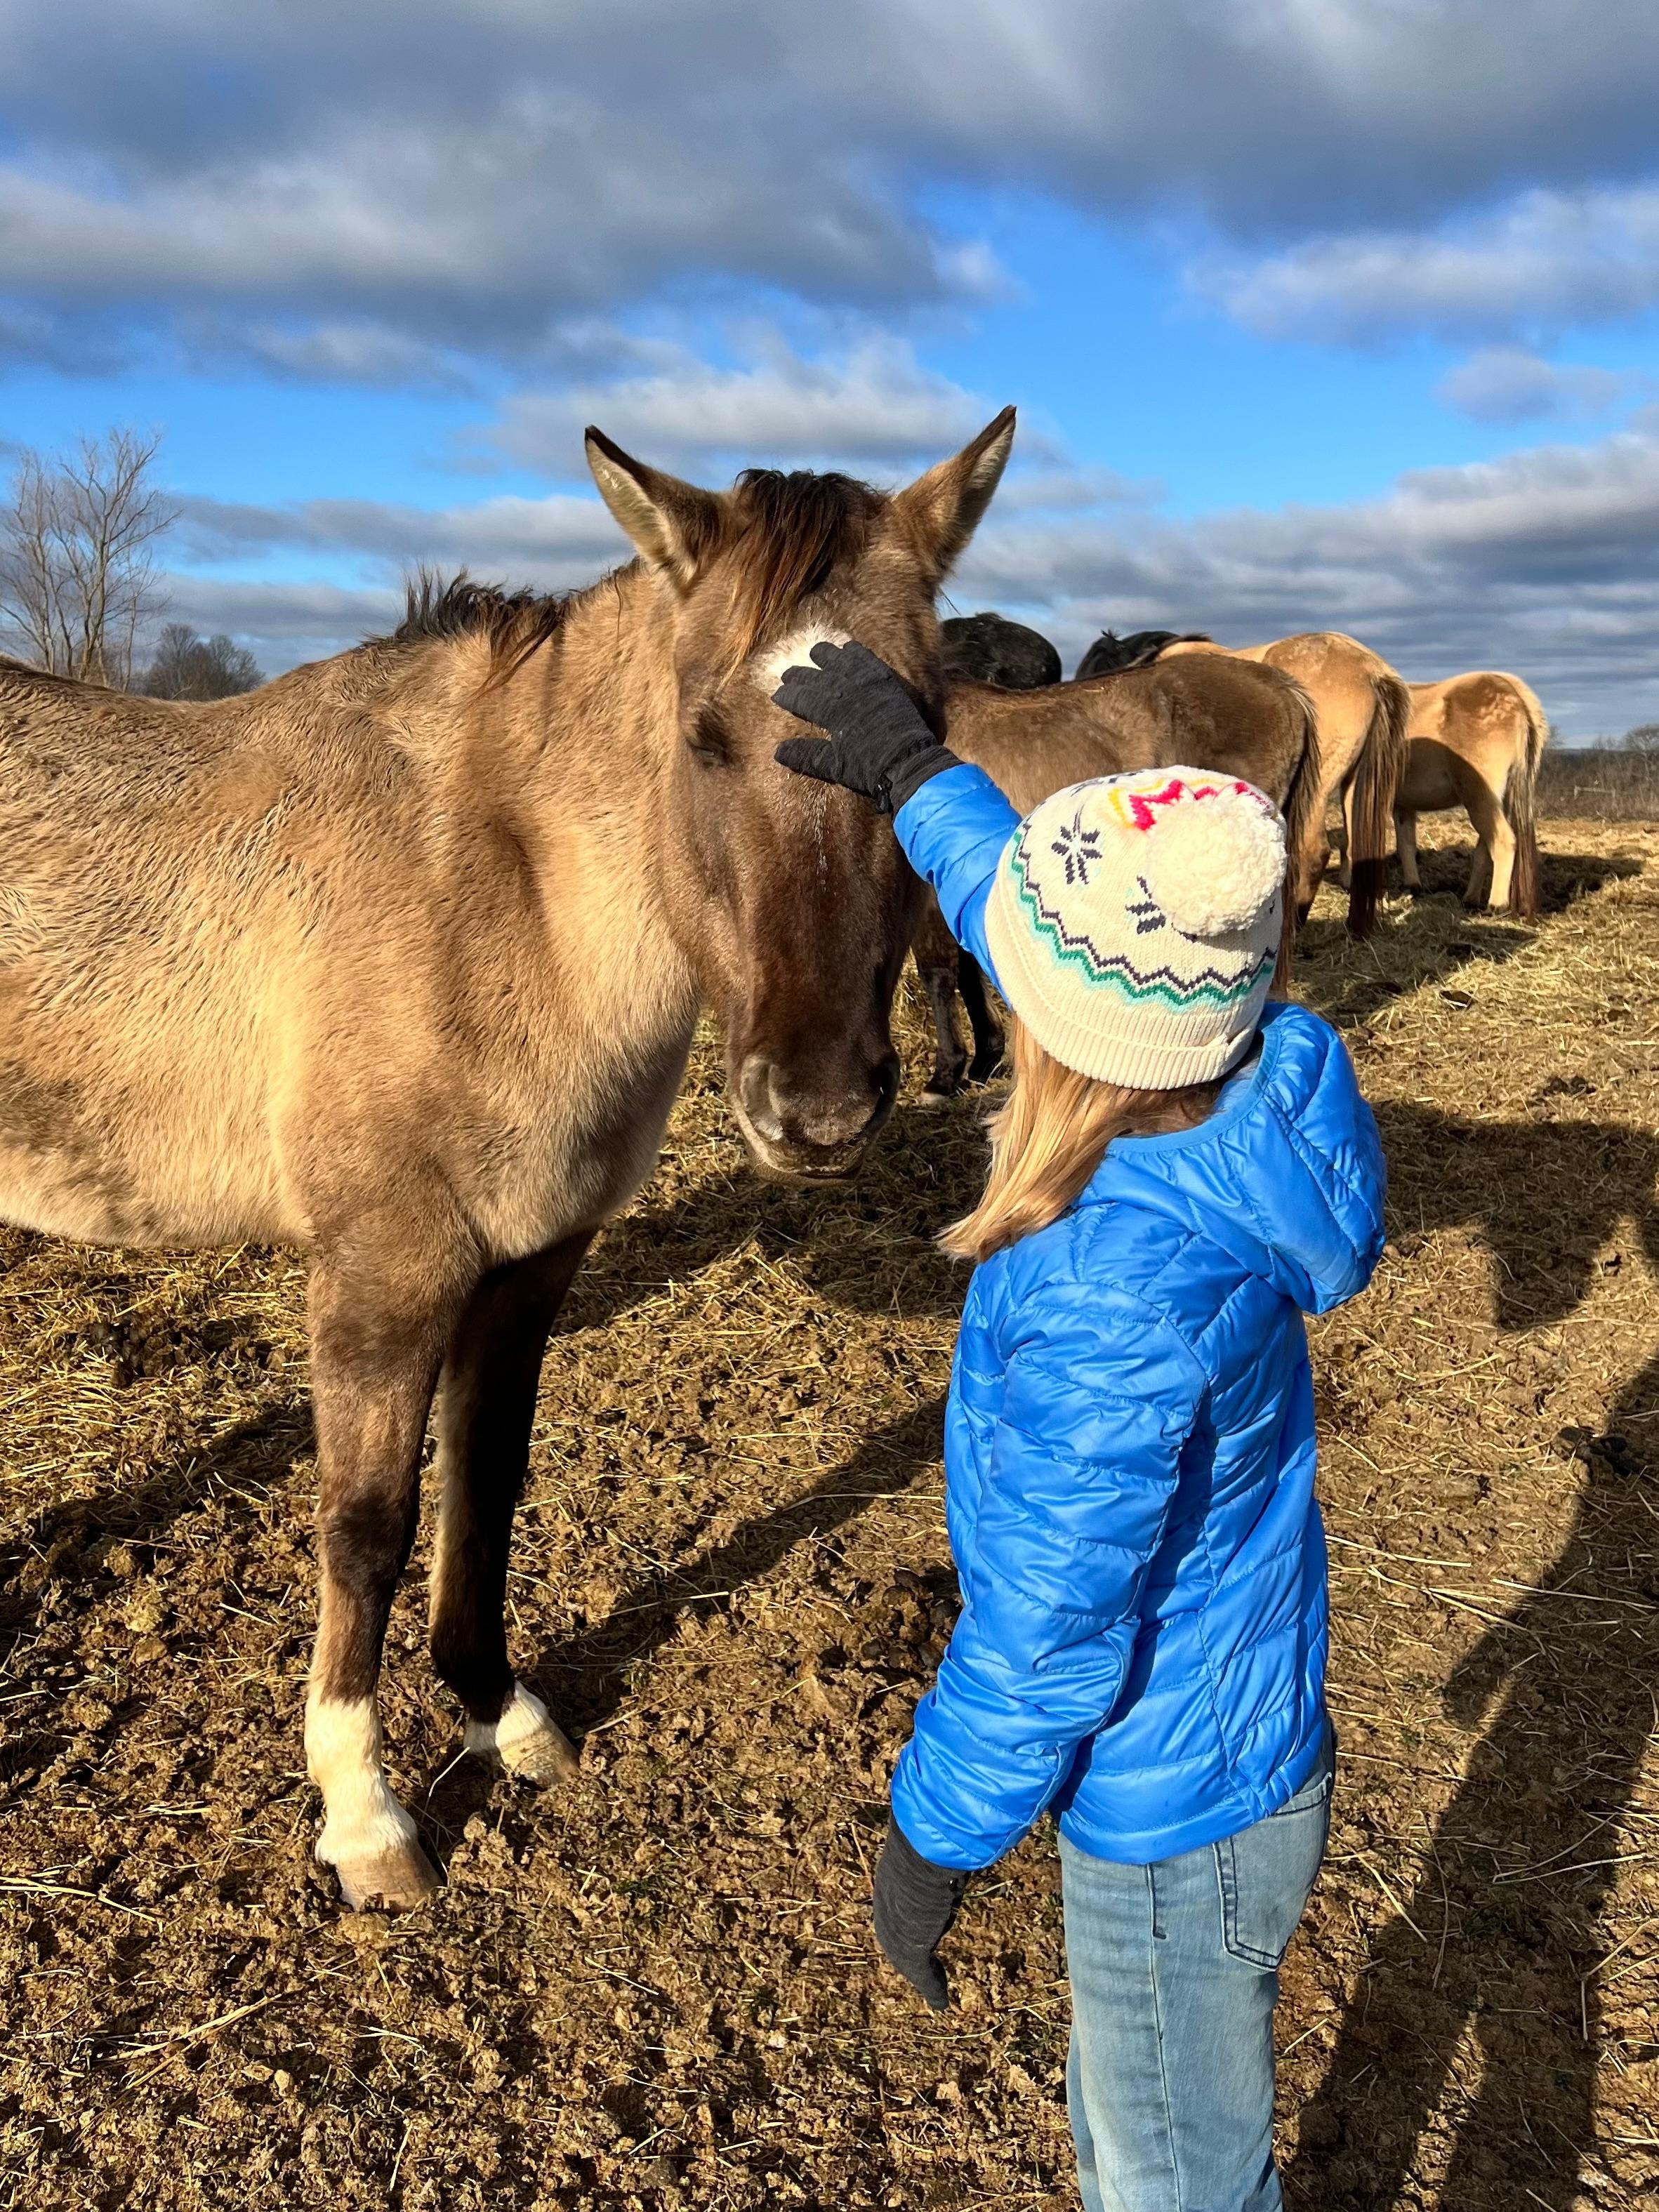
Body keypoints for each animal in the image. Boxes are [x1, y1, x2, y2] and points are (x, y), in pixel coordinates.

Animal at [0, 406, 1017, 1910]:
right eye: (702, 734)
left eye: (923, 733)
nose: (818, 1109)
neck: (489, 889)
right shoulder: (385, 1271)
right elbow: (365, 1523)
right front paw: (363, 1815)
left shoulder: (533, 1259)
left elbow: (485, 1478)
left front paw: (499, 1713)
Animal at [1397, 672, 1548, 917]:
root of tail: (1515, 694)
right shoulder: (1404, 802)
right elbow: (1406, 842)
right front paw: (1412, 886)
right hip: (1500, 801)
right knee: (1485, 848)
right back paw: (1471, 899)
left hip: (1480, 796)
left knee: (1503, 841)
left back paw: (1496, 905)